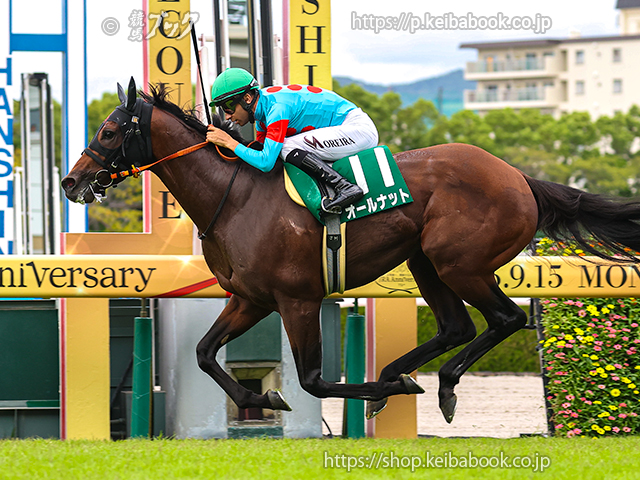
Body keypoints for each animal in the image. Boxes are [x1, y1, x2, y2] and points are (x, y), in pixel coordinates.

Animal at [61, 78, 640, 423]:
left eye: (109, 130)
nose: (71, 182)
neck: (235, 196)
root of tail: (518, 176)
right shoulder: (250, 298)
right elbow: (205, 354)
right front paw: (259, 397)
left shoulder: (295, 299)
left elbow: (315, 381)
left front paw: (380, 392)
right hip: (425, 260)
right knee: (458, 325)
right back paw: (398, 376)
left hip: (460, 262)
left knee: (507, 319)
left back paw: (438, 385)